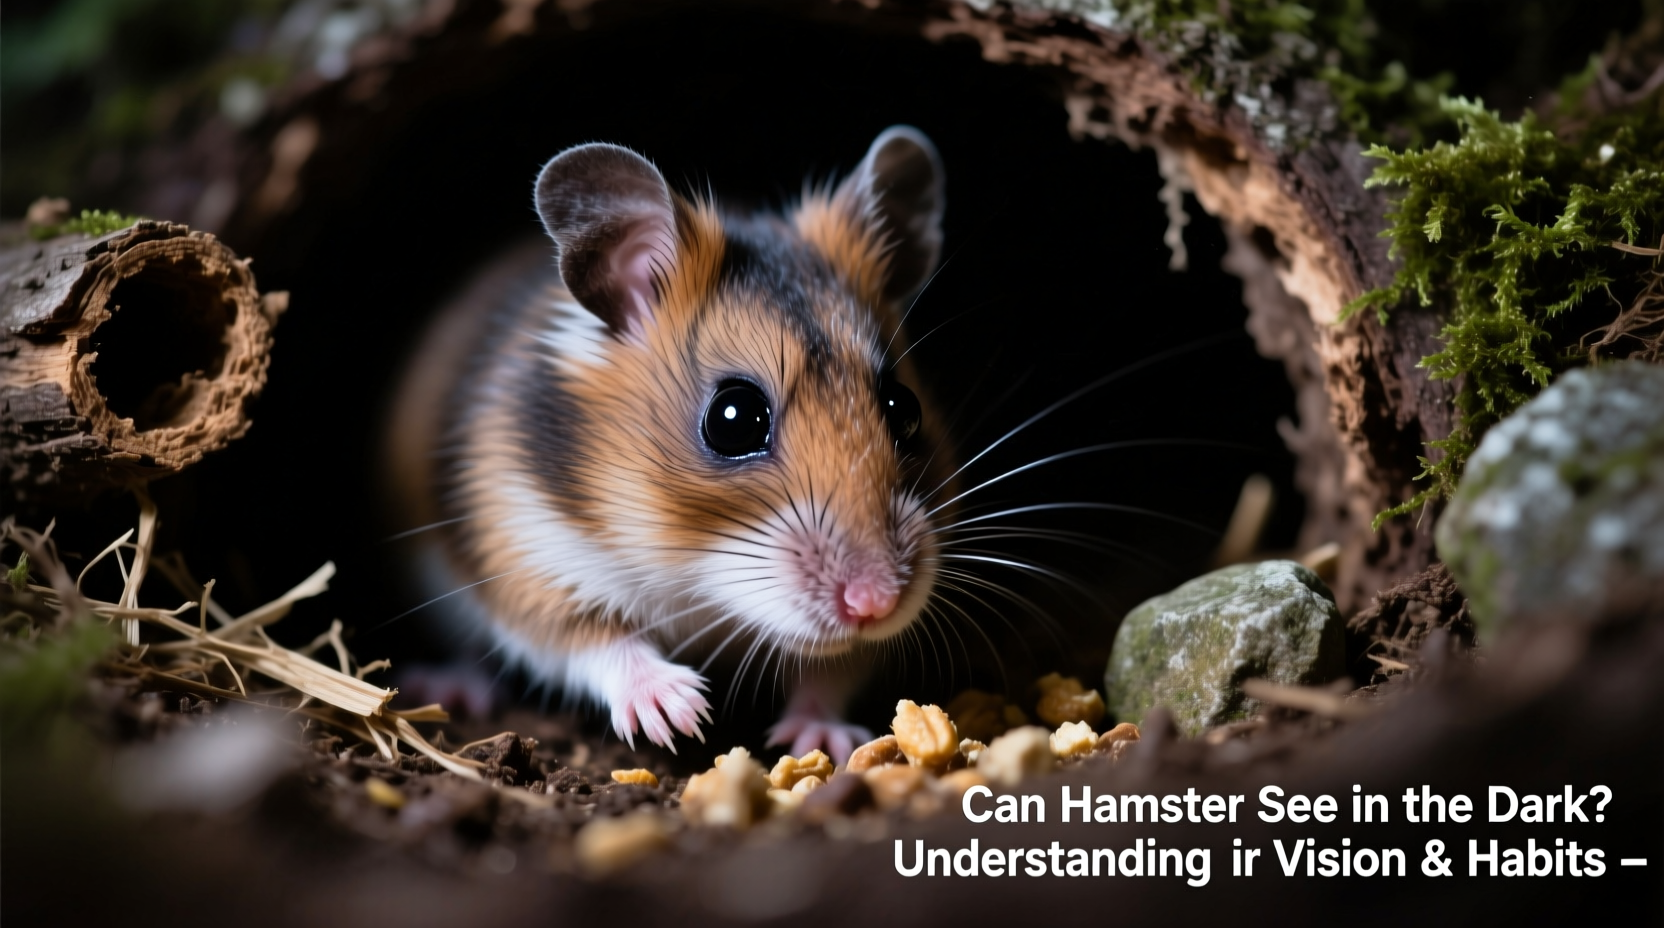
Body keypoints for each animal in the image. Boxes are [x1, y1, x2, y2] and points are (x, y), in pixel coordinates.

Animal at [385, 127, 952, 762]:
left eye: (905, 409)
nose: (876, 604)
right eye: (734, 419)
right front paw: (681, 713)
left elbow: (830, 672)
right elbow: (588, 639)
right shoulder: (525, 547)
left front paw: (823, 739)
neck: (689, 566)